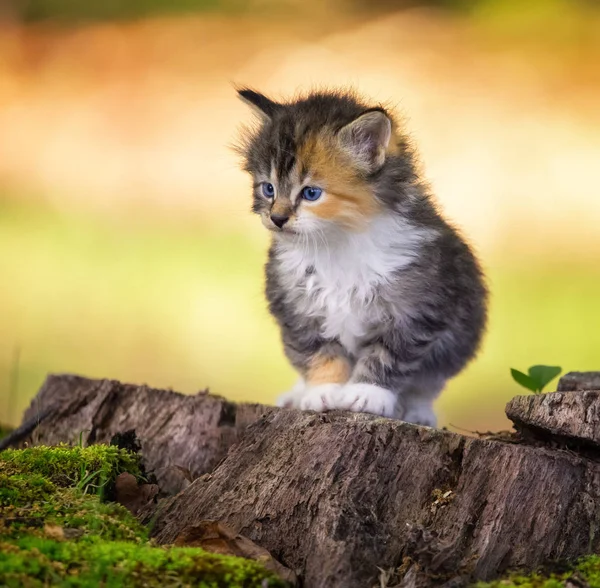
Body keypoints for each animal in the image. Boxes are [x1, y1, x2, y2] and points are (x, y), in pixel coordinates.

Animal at [236, 87, 488, 424]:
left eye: (311, 193)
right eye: (268, 189)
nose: (277, 218)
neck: (338, 243)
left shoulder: (417, 307)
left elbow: (389, 355)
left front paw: (368, 394)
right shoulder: (296, 306)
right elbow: (319, 352)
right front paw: (322, 392)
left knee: (427, 384)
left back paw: (417, 413)